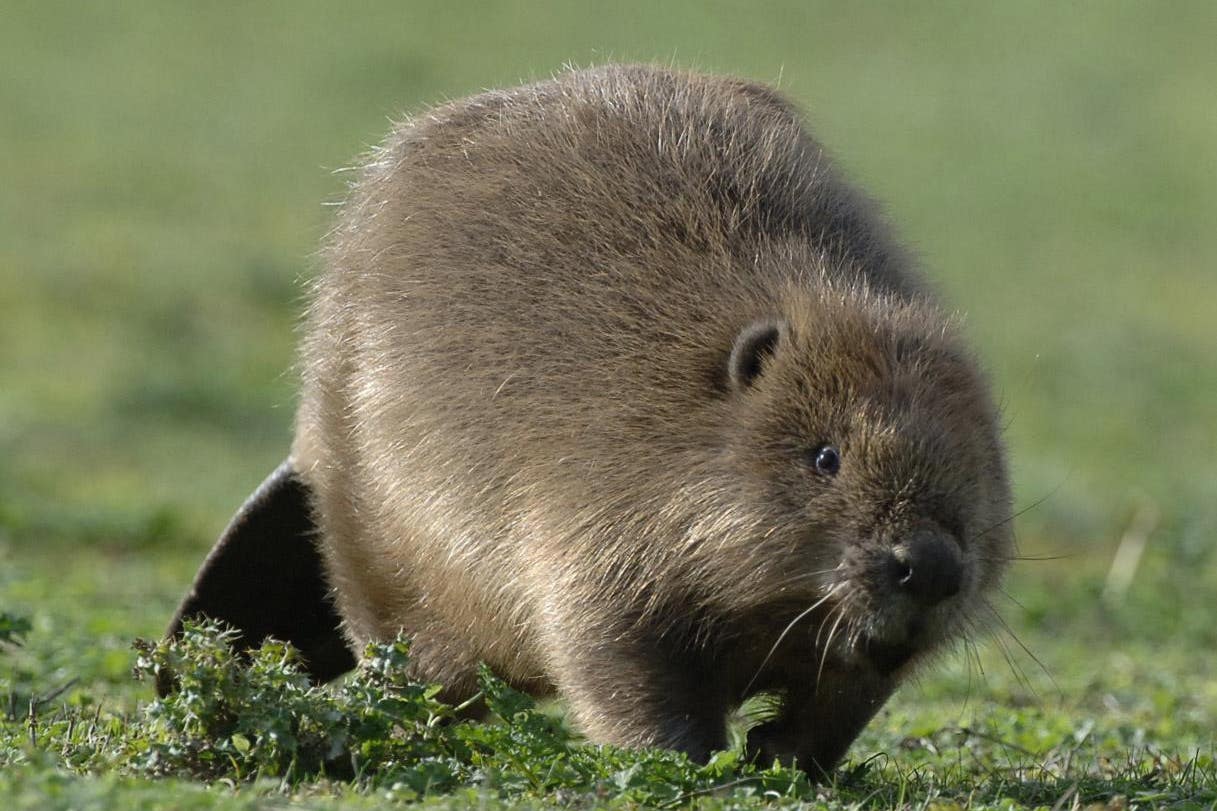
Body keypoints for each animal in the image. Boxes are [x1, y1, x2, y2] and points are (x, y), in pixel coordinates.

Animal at [166, 61, 1012, 769]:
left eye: (976, 471)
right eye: (824, 456)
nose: (927, 563)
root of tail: (303, 456)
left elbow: (850, 691)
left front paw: (780, 752)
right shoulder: (591, 525)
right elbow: (612, 656)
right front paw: (695, 760)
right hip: (362, 514)